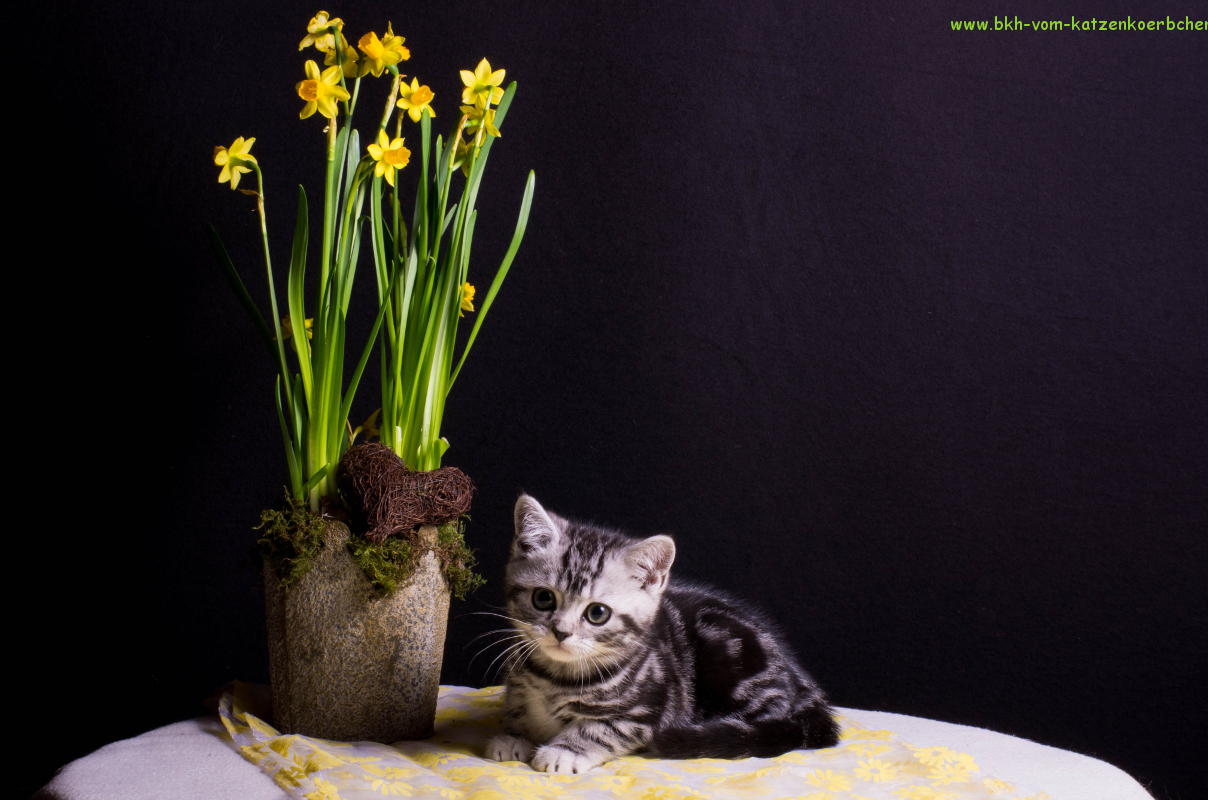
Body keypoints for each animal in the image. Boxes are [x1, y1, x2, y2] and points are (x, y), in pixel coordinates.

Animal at [483, 497, 840, 773]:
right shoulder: (517, 684)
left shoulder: (648, 714)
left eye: (597, 614)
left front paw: (563, 750)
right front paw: (515, 735)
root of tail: (806, 689)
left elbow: (599, 729)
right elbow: (517, 709)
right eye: (543, 598)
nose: (560, 632)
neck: (554, 678)